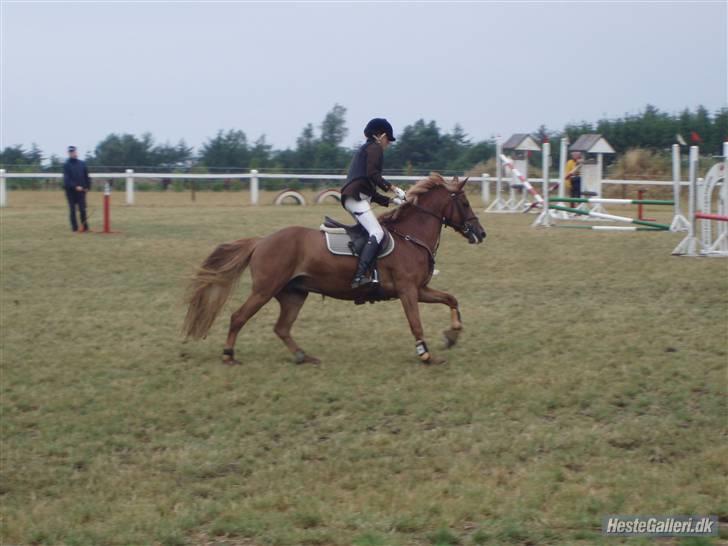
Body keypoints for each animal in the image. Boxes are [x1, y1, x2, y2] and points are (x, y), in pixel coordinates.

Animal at [182, 172, 486, 364]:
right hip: (265, 290)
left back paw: (303, 356)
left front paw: (451, 336)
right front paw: (426, 354)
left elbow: (451, 299)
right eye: (465, 202)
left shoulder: (420, 289)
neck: (410, 236)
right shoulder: (408, 290)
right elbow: (416, 323)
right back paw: (228, 355)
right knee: (238, 317)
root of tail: (261, 241)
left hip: (294, 294)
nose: (480, 234)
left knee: (282, 328)